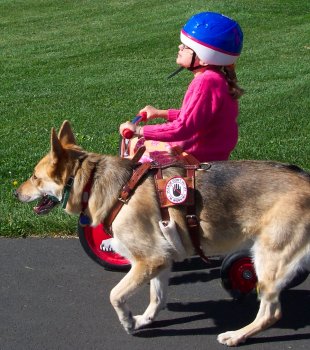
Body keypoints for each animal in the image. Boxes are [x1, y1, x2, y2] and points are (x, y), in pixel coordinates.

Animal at [15, 121, 310, 346]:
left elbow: (115, 294)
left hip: (267, 258)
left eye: (35, 177)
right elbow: (156, 297)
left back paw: (237, 336)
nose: (15, 193)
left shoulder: (149, 259)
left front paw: (127, 320)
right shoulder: (162, 259)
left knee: (271, 313)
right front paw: (143, 319)